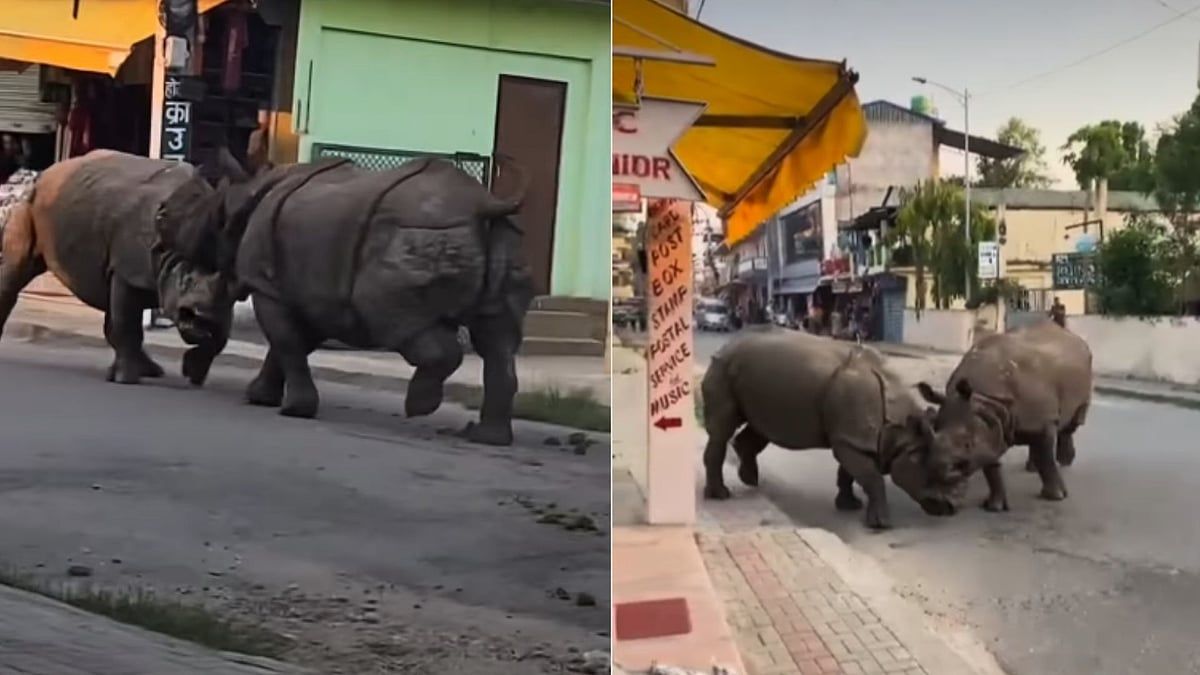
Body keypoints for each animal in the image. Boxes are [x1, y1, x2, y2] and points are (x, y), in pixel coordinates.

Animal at [0, 150, 236, 385]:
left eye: (226, 286)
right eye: (184, 282)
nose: (202, 318)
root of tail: (47, 171)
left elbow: (222, 336)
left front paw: (193, 371)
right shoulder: (127, 272)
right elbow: (127, 324)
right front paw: (127, 379)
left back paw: (151, 370)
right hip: (28, 201)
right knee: (17, 271)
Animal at [154, 156, 534, 446]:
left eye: (196, 215)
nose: (160, 217)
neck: (243, 196)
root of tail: (485, 204)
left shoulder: (267, 286)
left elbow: (287, 343)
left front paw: (294, 410)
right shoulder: (315, 295)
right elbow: (288, 347)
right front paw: (260, 397)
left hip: (413, 237)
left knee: (399, 321)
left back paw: (418, 407)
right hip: (502, 239)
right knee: (498, 340)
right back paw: (486, 437)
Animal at [701, 330, 943, 530]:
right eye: (929, 473)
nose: (946, 507)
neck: (901, 429)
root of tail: (725, 346)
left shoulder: (851, 437)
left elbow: (849, 473)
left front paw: (849, 505)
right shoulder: (851, 439)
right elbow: (871, 477)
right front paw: (881, 525)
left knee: (760, 427)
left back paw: (750, 479)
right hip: (723, 369)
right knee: (722, 431)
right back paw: (721, 495)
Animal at [915, 319, 1093, 514]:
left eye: (967, 444)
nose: (933, 503)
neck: (983, 399)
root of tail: (1069, 334)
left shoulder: (1038, 419)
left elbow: (1046, 459)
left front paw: (1055, 497)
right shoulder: (989, 422)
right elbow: (990, 464)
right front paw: (994, 507)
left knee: (1072, 423)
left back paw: (1064, 461)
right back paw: (1031, 468)